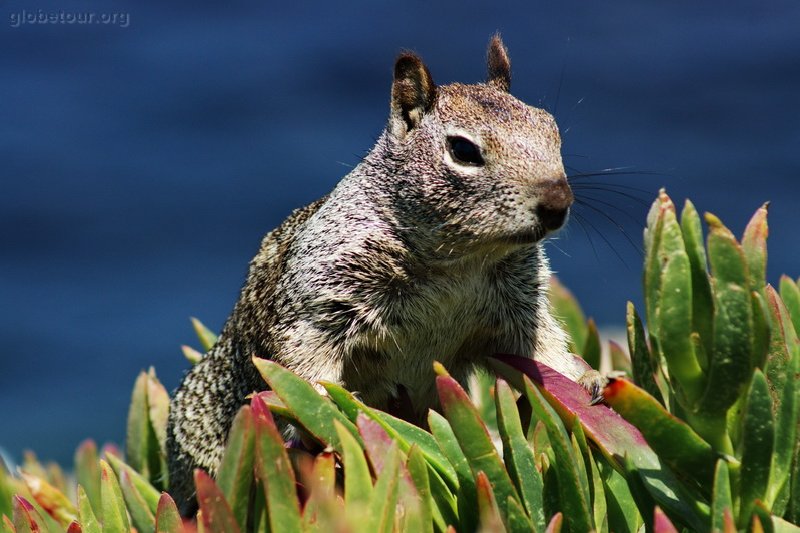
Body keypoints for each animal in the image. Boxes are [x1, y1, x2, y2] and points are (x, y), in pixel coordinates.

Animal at [166, 35, 600, 512]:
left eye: (552, 129)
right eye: (463, 151)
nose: (558, 203)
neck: (458, 261)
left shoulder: (519, 306)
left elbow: (542, 349)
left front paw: (586, 378)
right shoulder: (323, 294)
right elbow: (302, 360)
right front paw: (331, 411)